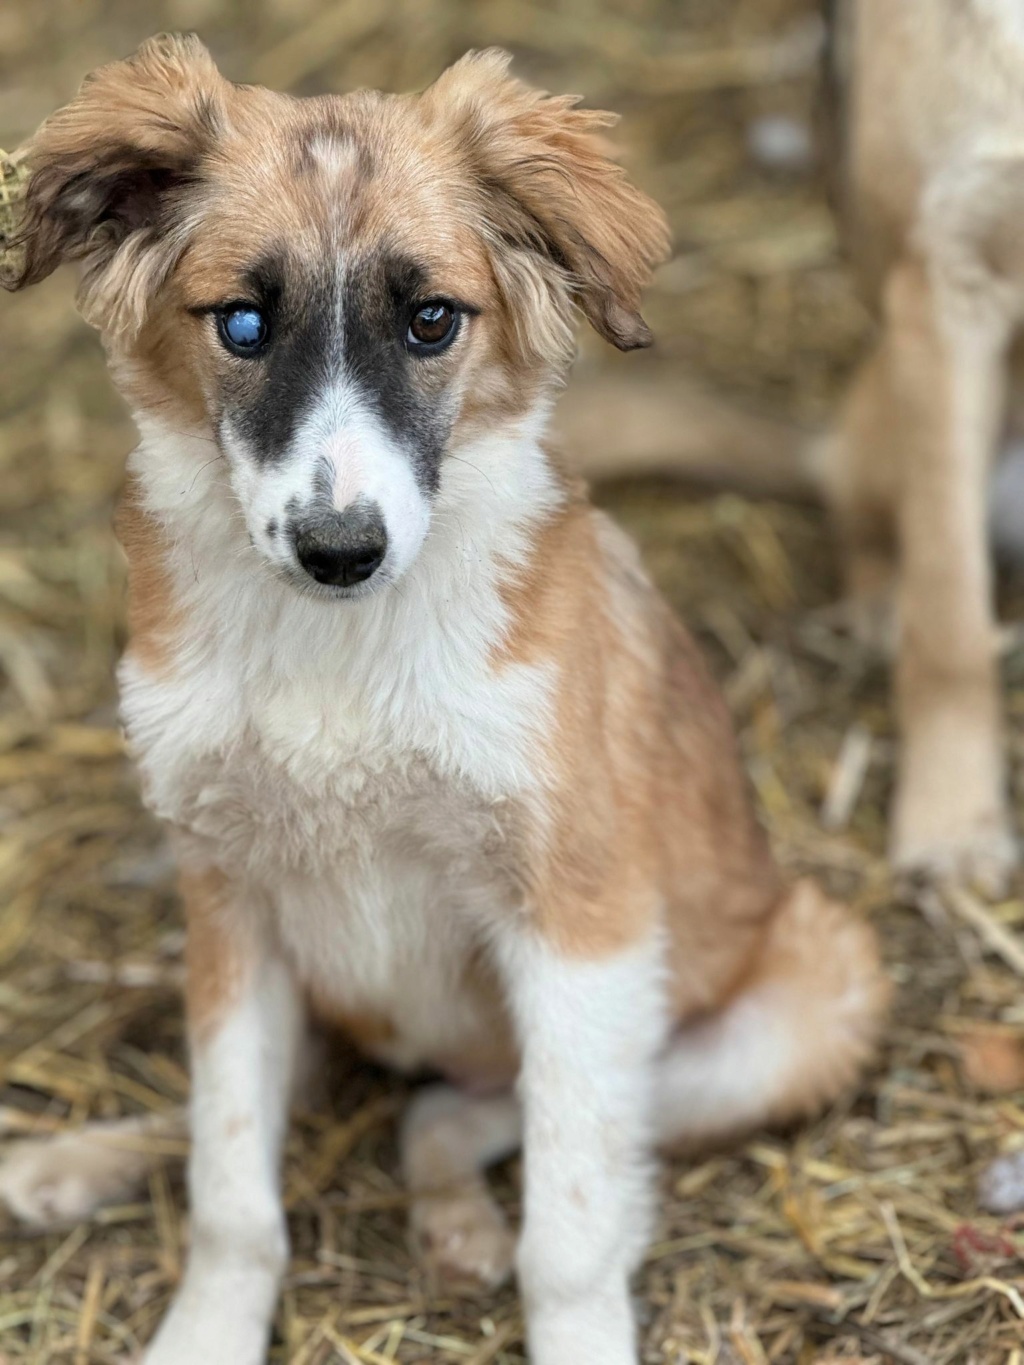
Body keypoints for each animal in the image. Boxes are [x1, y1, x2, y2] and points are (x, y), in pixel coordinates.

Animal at [0, 39, 884, 1365]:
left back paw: (456, 1219)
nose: (339, 550)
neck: (338, 651)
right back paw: (71, 1163)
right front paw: (204, 1330)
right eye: (243, 323)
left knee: (476, 1117)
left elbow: (570, 1225)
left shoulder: (579, 922)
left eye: (431, 321)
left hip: (795, 1005)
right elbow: (230, 1185)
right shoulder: (234, 904)